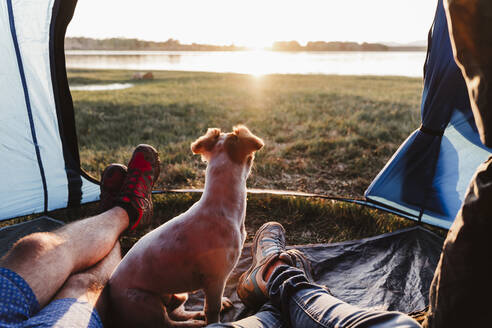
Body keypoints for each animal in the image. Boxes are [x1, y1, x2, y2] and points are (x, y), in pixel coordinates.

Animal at [107, 126, 262, 328]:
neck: (220, 207)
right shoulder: (216, 279)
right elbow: (212, 310)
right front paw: (213, 321)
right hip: (146, 302)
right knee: (169, 323)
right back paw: (196, 322)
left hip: (178, 294)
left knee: (177, 312)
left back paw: (196, 315)